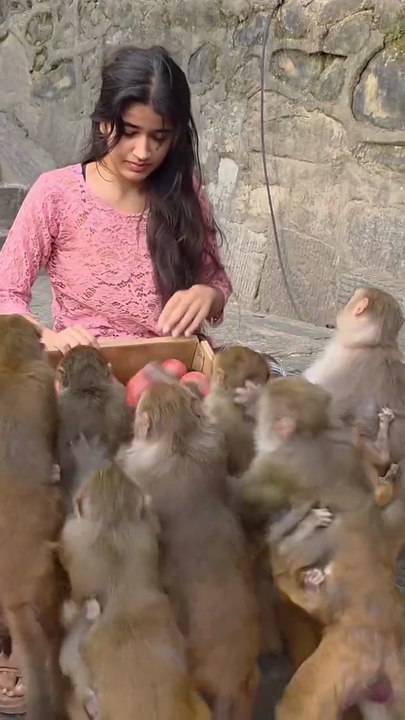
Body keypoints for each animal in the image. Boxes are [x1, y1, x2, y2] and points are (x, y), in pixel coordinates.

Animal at [238, 376, 405, 719]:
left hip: (350, 647)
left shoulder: (274, 464)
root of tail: (387, 632)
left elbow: (244, 497)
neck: (309, 435)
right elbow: (360, 447)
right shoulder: (338, 438)